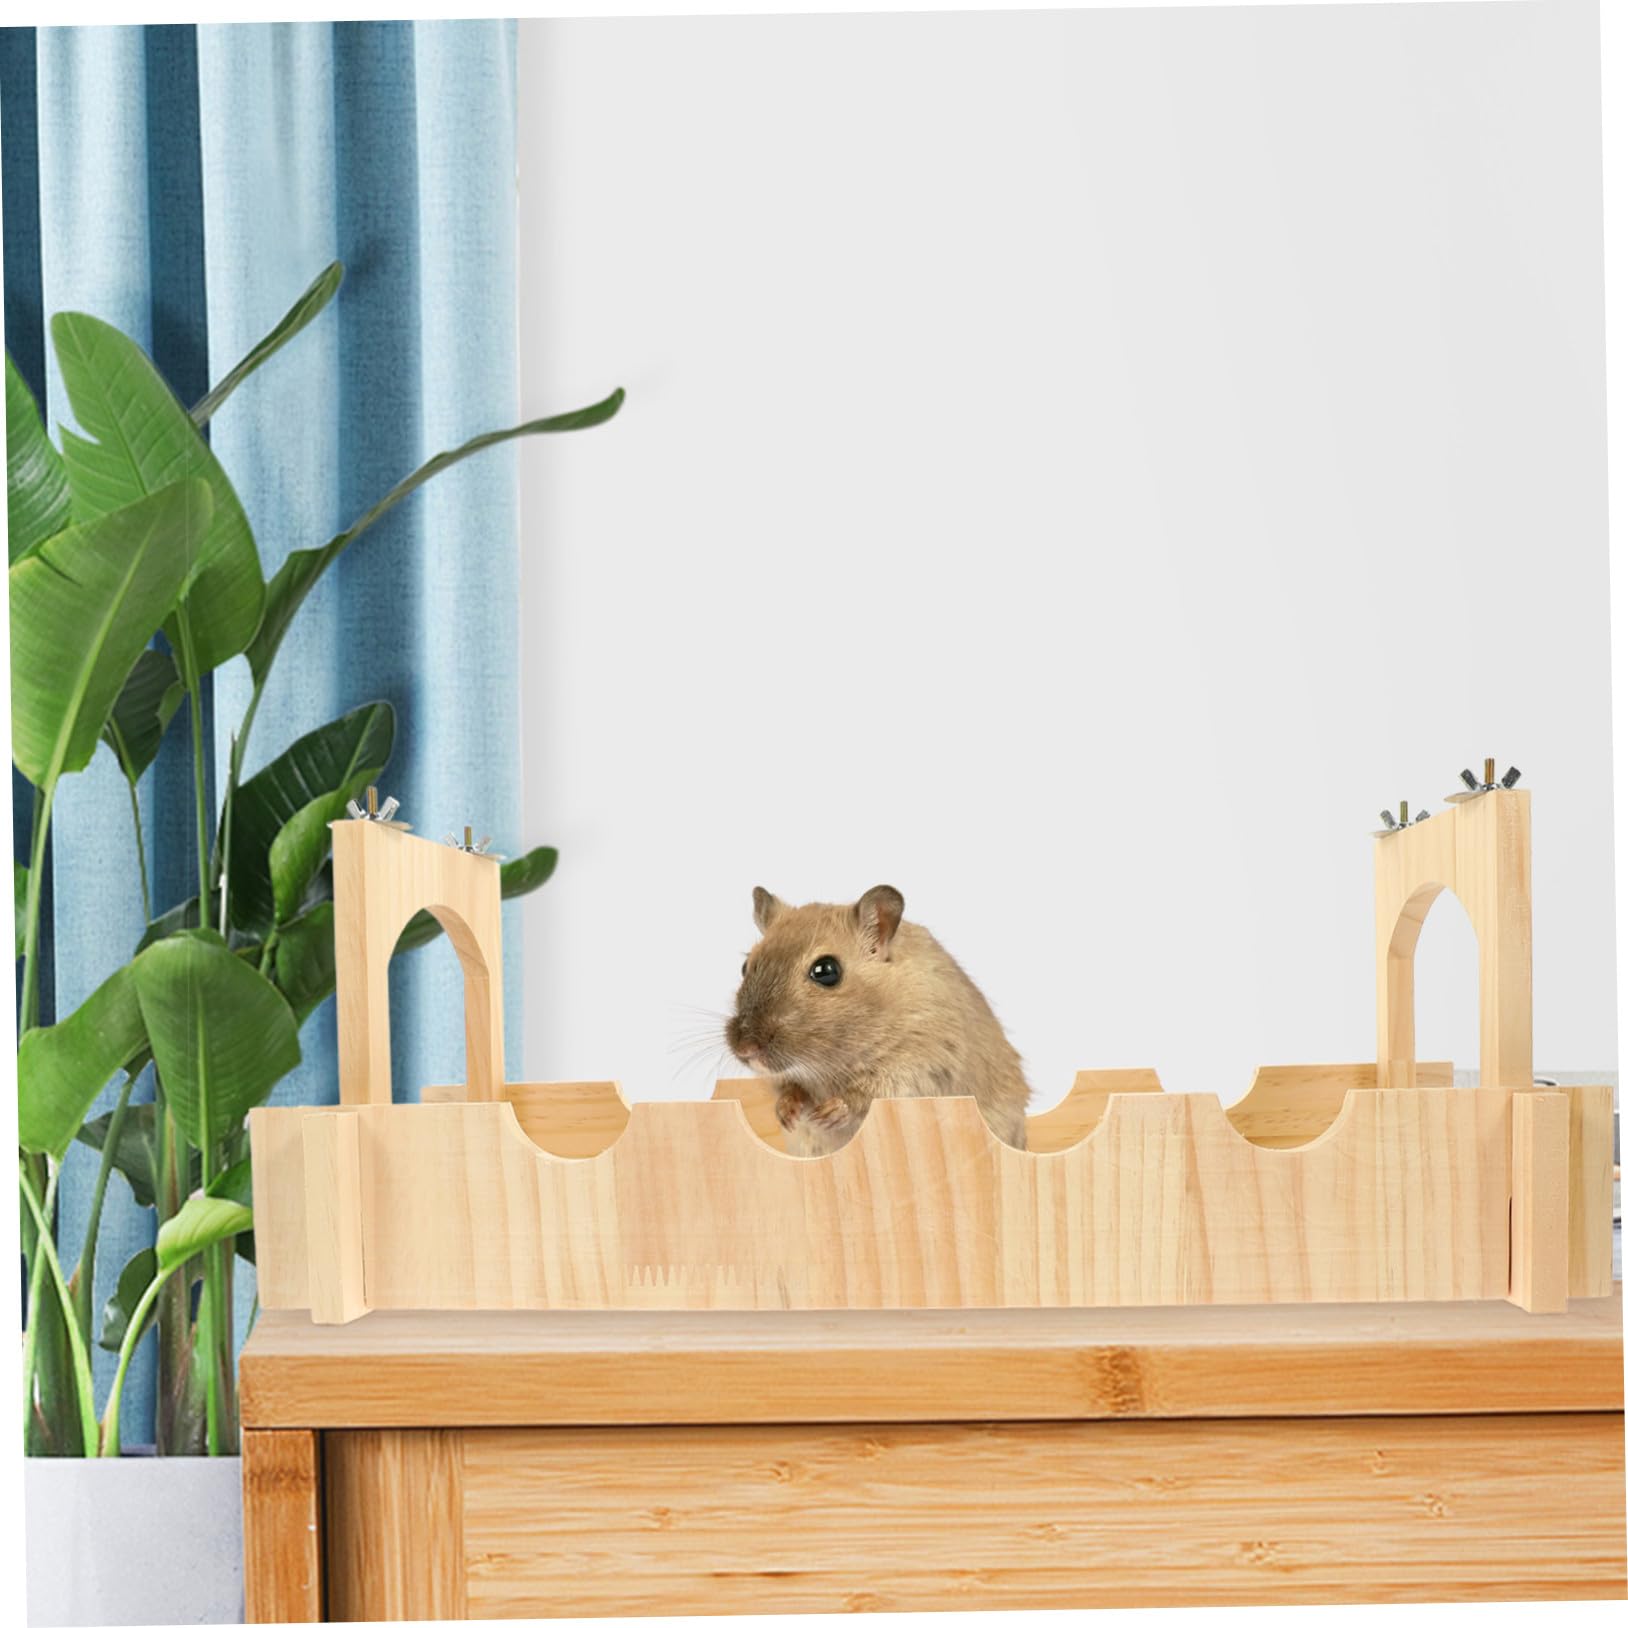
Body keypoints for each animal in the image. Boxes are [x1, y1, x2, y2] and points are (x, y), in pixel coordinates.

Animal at [724, 883, 1030, 1157]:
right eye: (745, 967)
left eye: (826, 971)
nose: (745, 1049)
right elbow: (787, 1088)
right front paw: (787, 1113)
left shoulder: (919, 1065)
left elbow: (865, 1095)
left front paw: (828, 1113)